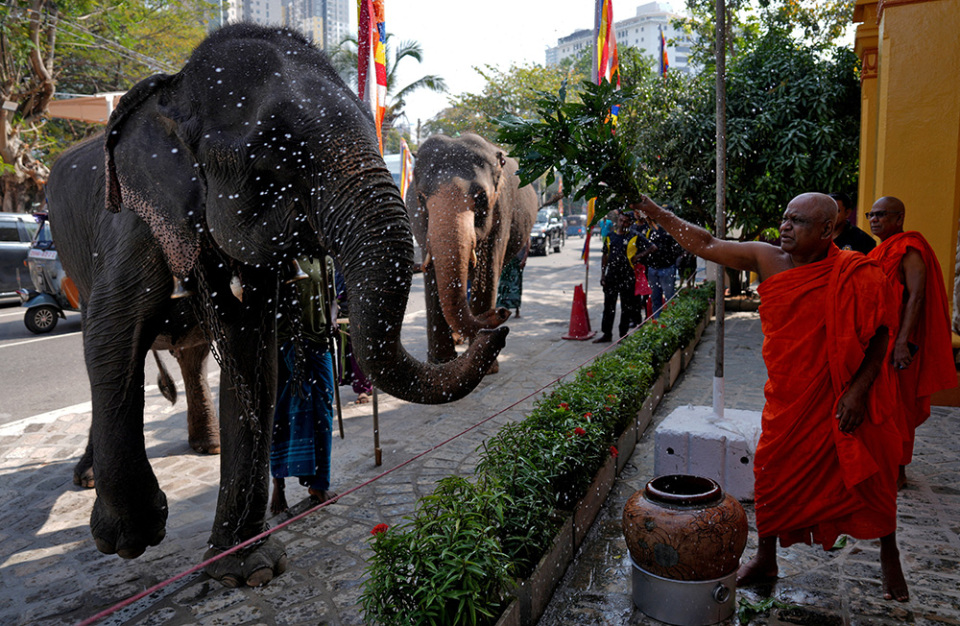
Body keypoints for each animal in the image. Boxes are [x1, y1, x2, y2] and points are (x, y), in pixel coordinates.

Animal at [43, 23, 506, 588]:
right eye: (269, 158)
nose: (497, 324)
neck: (175, 91)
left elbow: (252, 356)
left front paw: (247, 569)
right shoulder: (132, 221)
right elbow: (114, 334)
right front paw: (132, 536)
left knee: (191, 354)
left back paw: (207, 447)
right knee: (100, 340)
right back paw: (92, 480)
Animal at [404, 133, 537, 371]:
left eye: (481, 197)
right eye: (420, 197)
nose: (502, 312)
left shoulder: (501, 210)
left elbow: (489, 271)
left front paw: (487, 368)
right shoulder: (418, 221)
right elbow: (433, 277)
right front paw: (440, 363)